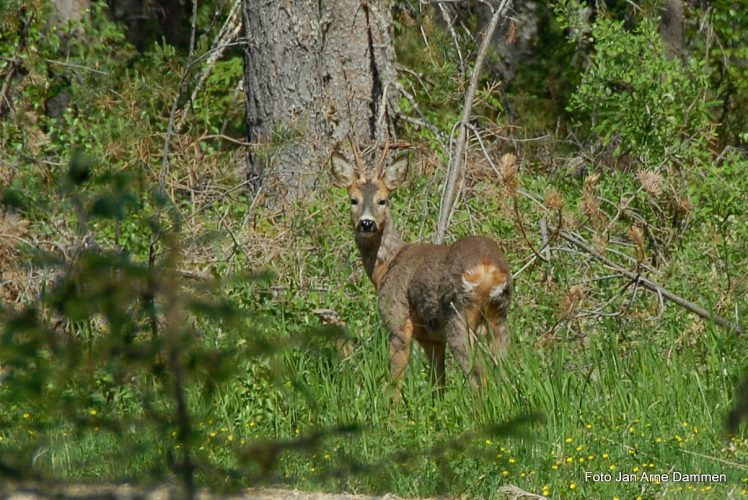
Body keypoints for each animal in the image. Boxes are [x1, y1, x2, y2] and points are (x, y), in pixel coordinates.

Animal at [332, 149, 512, 398]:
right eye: (353, 200)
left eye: (382, 200)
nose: (366, 223)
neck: (386, 266)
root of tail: (488, 267)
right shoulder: (431, 338)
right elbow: (438, 384)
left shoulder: (398, 321)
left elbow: (395, 380)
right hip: (499, 314)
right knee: (503, 372)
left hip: (456, 315)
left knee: (479, 376)